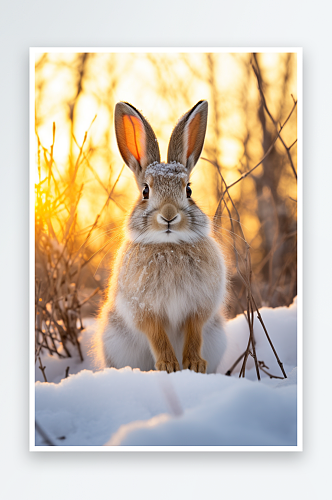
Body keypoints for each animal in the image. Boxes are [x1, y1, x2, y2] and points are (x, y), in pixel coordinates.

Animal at [94, 99, 228, 374]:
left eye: (188, 190)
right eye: (146, 191)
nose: (168, 216)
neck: (169, 246)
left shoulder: (198, 308)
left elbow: (194, 333)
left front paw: (194, 365)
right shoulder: (144, 310)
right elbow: (157, 336)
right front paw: (168, 366)